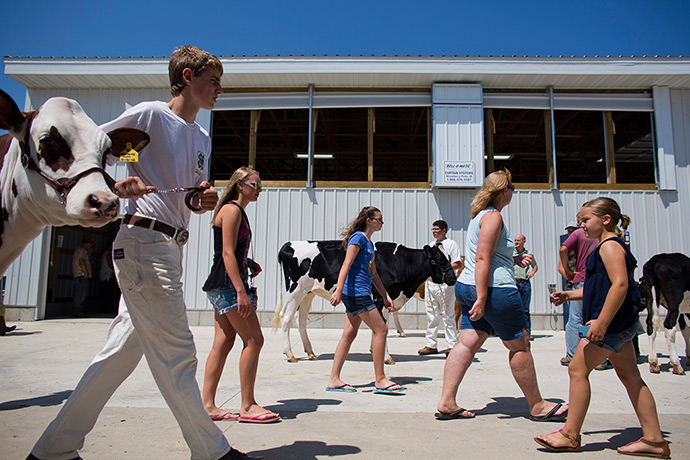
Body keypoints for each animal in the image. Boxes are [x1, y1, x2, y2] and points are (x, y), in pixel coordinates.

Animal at [274, 241, 456, 362]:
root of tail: (288, 244)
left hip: (308, 293)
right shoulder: (382, 298)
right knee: (285, 317)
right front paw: (386, 357)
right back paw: (290, 354)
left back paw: (310, 352)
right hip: (295, 290)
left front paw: (375, 351)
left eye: (449, 257)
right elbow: (383, 326)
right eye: (440, 260)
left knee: (301, 319)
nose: (453, 278)